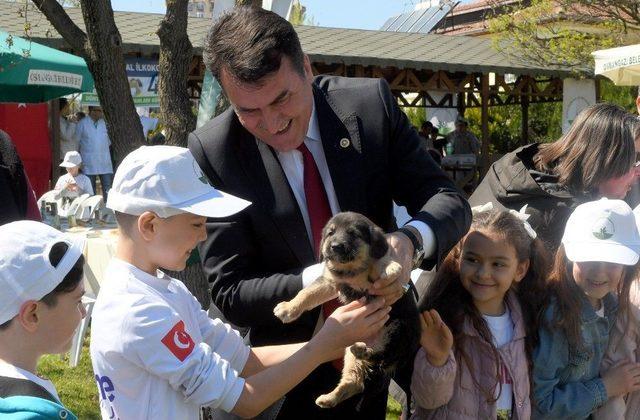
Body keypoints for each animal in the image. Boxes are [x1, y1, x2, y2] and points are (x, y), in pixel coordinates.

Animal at [272, 212, 422, 408]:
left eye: (353, 234)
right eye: (330, 233)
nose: (335, 246)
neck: (351, 271)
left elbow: (379, 260)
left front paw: (390, 267)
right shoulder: (330, 282)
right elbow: (307, 293)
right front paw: (288, 308)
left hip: (397, 330)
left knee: (381, 356)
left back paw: (363, 352)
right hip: (354, 354)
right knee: (356, 382)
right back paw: (329, 398)